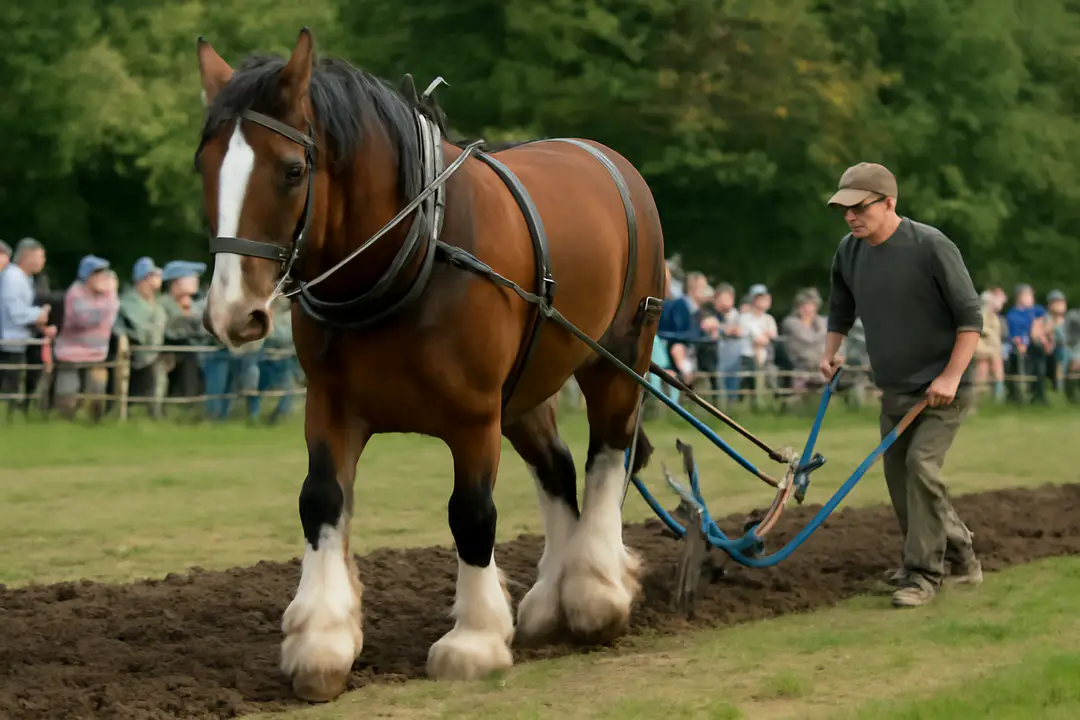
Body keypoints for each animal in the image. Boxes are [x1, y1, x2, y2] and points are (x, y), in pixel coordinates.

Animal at [194, 28, 667, 702]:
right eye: (205, 168)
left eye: (292, 170)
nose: (234, 313)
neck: (414, 251)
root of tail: (605, 156)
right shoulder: (331, 404)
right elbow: (321, 499)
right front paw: (322, 640)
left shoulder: (472, 415)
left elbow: (471, 513)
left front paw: (474, 641)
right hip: (525, 391)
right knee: (557, 467)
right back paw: (552, 596)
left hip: (619, 355)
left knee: (608, 452)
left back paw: (596, 590)